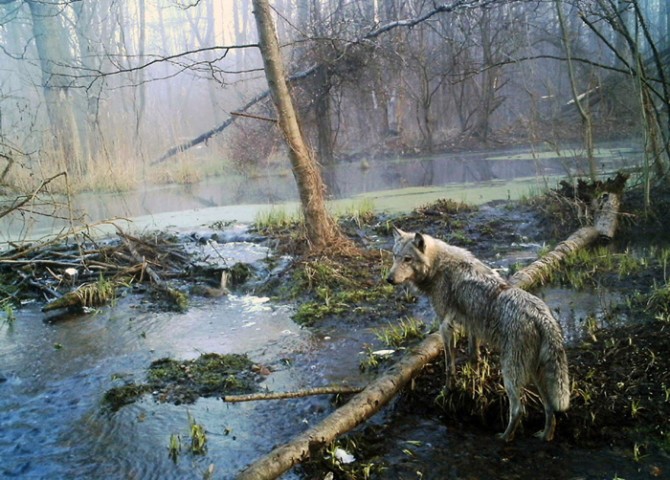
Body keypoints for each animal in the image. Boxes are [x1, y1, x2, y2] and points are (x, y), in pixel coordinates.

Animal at [388, 227, 572, 440]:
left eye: (407, 259)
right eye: (395, 256)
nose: (389, 279)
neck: (438, 266)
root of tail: (542, 316)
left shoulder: (445, 327)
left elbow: (449, 366)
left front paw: (448, 391)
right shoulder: (471, 324)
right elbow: (473, 356)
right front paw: (474, 383)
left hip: (510, 374)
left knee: (519, 410)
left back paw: (504, 438)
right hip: (536, 374)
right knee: (549, 408)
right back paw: (545, 436)